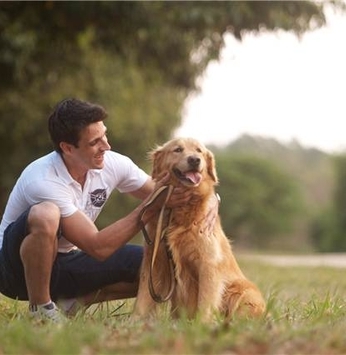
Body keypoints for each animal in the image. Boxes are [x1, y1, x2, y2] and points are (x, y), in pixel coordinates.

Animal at [134, 138, 264, 322]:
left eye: (199, 151)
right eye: (178, 149)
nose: (194, 160)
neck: (180, 209)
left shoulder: (208, 264)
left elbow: (205, 301)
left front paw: (201, 324)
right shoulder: (155, 261)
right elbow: (144, 296)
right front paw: (135, 320)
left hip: (242, 291)